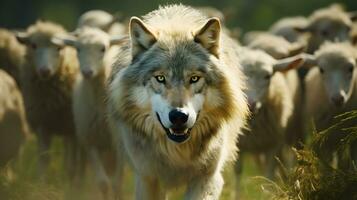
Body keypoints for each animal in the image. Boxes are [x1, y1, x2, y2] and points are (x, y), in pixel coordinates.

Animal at [15, 20, 79, 178]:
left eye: (59, 47)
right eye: (33, 45)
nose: (45, 71)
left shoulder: (73, 129)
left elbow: (72, 165)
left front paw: (72, 183)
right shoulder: (42, 125)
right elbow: (44, 160)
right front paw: (41, 181)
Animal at [106, 4, 248, 200]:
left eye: (194, 78)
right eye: (160, 78)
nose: (179, 116)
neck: (177, 152)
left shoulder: (207, 178)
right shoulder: (148, 179)